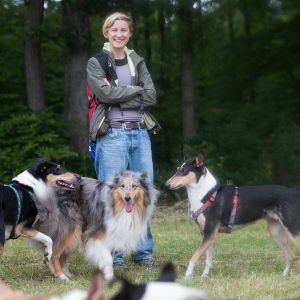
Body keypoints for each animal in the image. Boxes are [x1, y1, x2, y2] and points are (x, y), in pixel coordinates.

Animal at [164, 152, 300, 278]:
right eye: (177, 169)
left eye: (183, 171)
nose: (166, 185)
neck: (205, 193)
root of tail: (294, 192)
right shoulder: (207, 234)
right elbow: (208, 259)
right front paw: (204, 276)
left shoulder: (209, 233)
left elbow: (194, 257)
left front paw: (187, 277)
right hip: (276, 232)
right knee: (291, 256)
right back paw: (283, 275)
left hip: (292, 229)